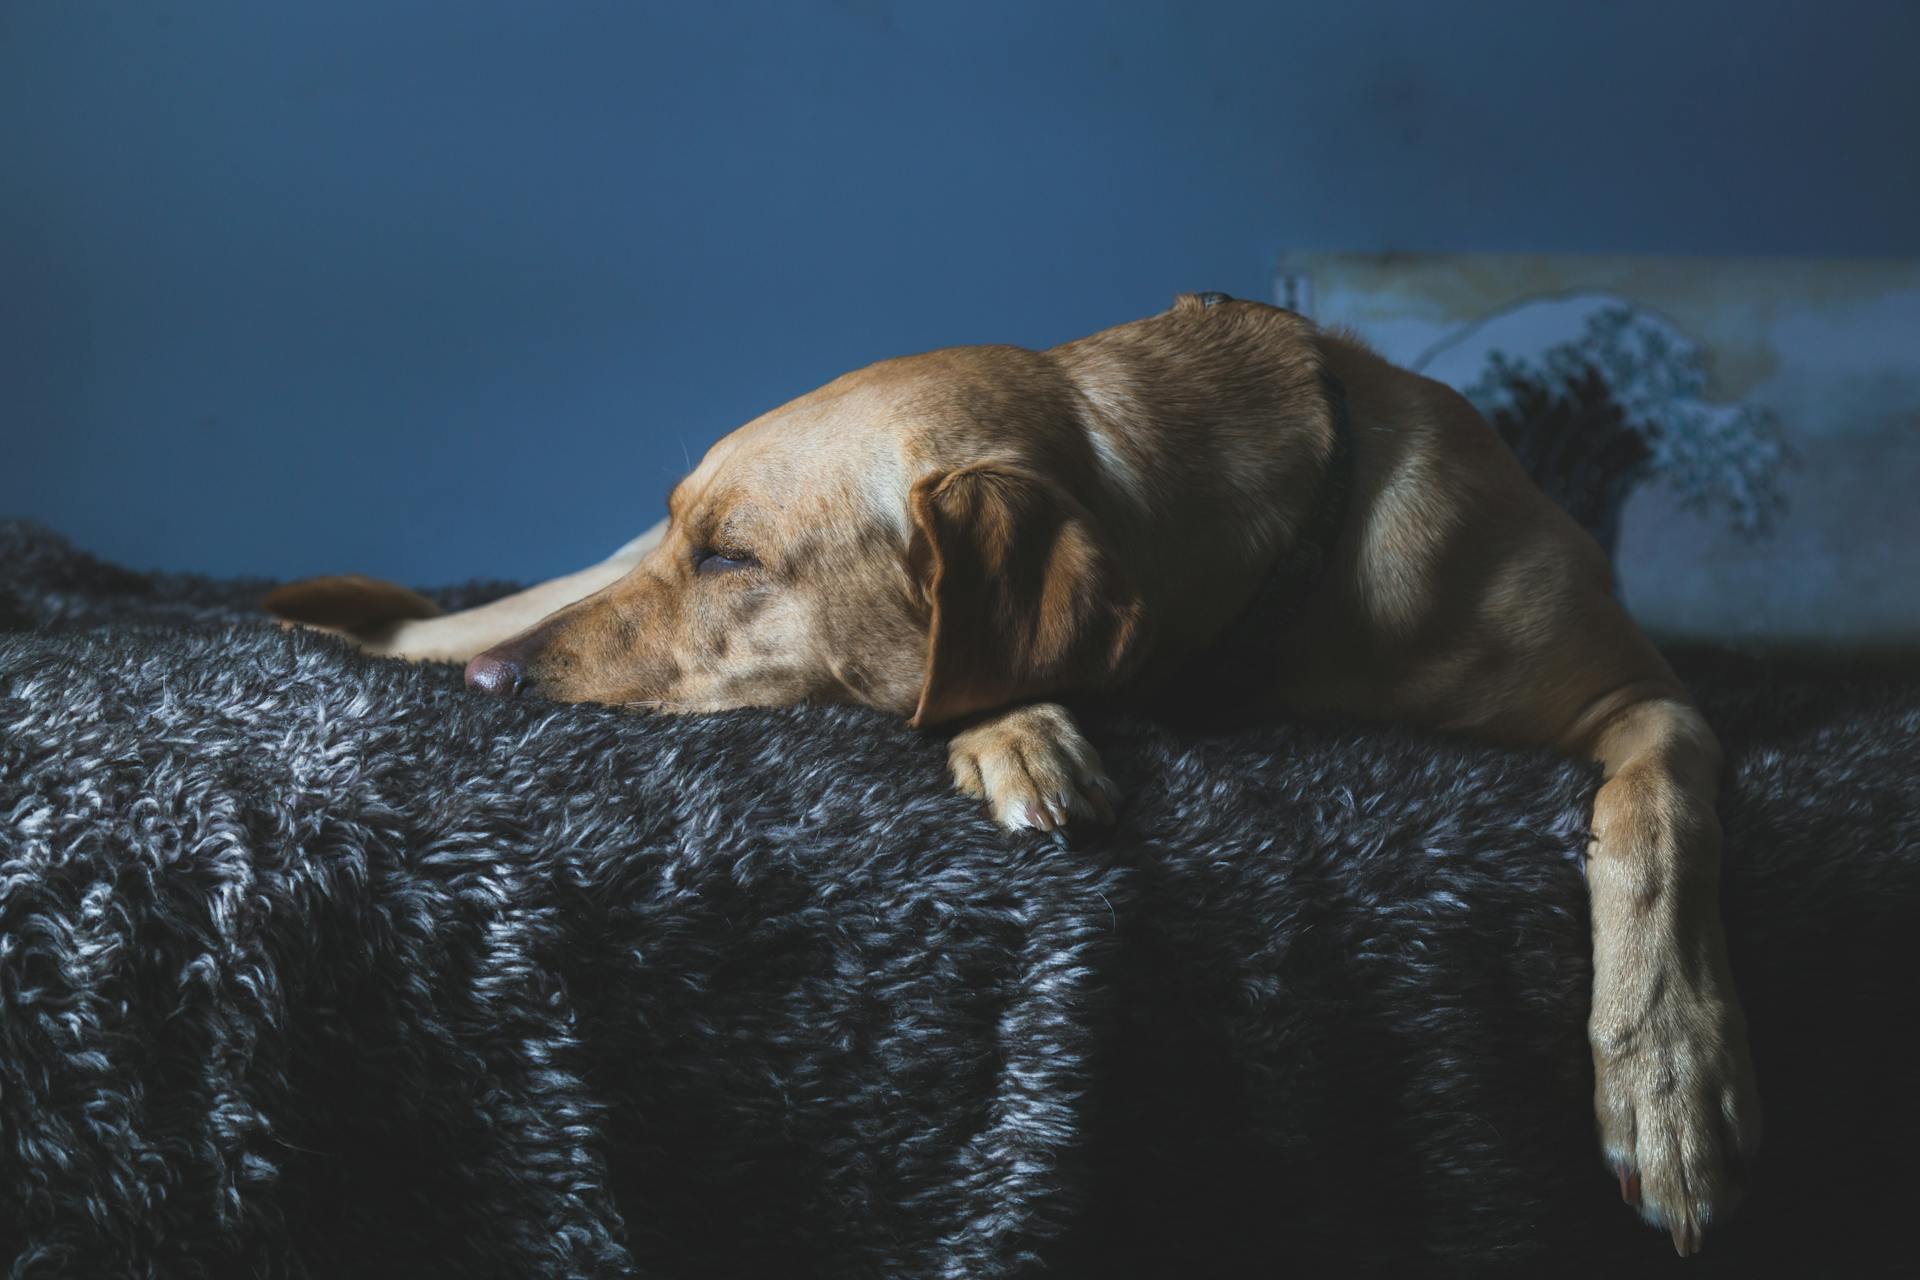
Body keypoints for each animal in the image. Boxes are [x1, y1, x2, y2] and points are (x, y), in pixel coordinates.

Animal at [266, 289, 1758, 1251]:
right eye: (697, 537)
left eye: (735, 557)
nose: (495, 693)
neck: (1280, 589)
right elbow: (974, 684)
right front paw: (1018, 730)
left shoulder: (1654, 705)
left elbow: (1656, 831)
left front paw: (1666, 1079)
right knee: (419, 624)